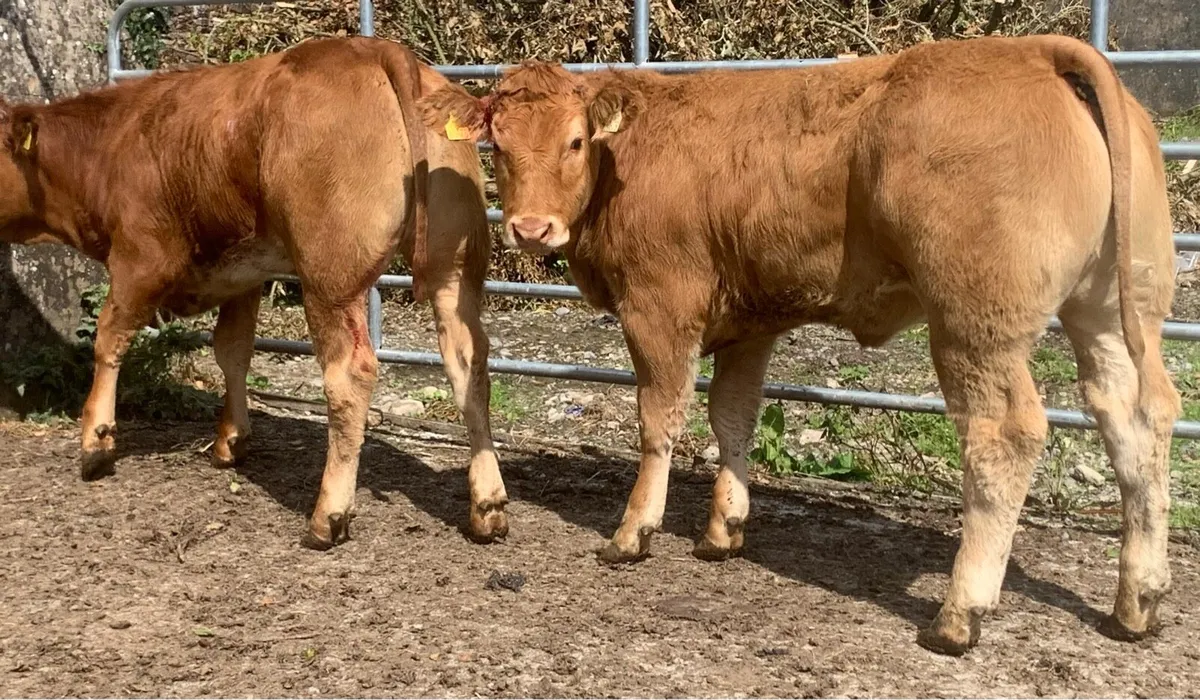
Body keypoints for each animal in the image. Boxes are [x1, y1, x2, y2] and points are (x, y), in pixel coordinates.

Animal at [0, 36, 511, 550]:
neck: (110, 142)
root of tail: (374, 48)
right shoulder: (242, 275)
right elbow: (232, 351)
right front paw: (231, 439)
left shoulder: (140, 260)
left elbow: (109, 337)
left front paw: (96, 442)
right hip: (454, 272)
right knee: (469, 363)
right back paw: (487, 507)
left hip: (329, 281)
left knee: (349, 376)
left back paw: (328, 516)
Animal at [418, 34, 1181, 654]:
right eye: (496, 146)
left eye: (576, 142)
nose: (531, 228)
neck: (626, 160)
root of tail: (1036, 52)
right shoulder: (749, 324)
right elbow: (732, 418)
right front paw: (722, 530)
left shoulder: (659, 307)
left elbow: (659, 420)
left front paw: (633, 534)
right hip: (1114, 309)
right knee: (1136, 416)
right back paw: (1136, 601)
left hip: (976, 326)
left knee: (1005, 436)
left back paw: (959, 615)